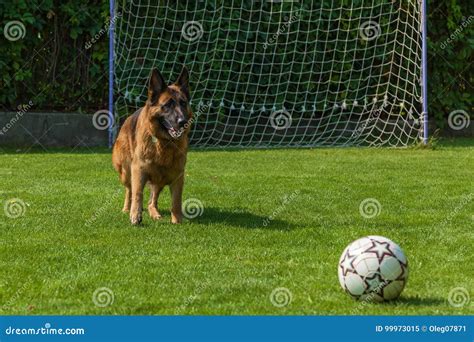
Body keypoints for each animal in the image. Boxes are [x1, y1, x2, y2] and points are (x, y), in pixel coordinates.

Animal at [112, 68, 192, 226]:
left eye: (183, 103)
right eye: (167, 105)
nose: (183, 121)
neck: (164, 143)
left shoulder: (177, 175)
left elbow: (176, 201)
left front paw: (177, 221)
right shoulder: (139, 170)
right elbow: (137, 193)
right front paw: (135, 215)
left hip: (161, 177)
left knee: (152, 201)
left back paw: (154, 213)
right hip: (126, 172)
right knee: (129, 190)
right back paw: (127, 208)